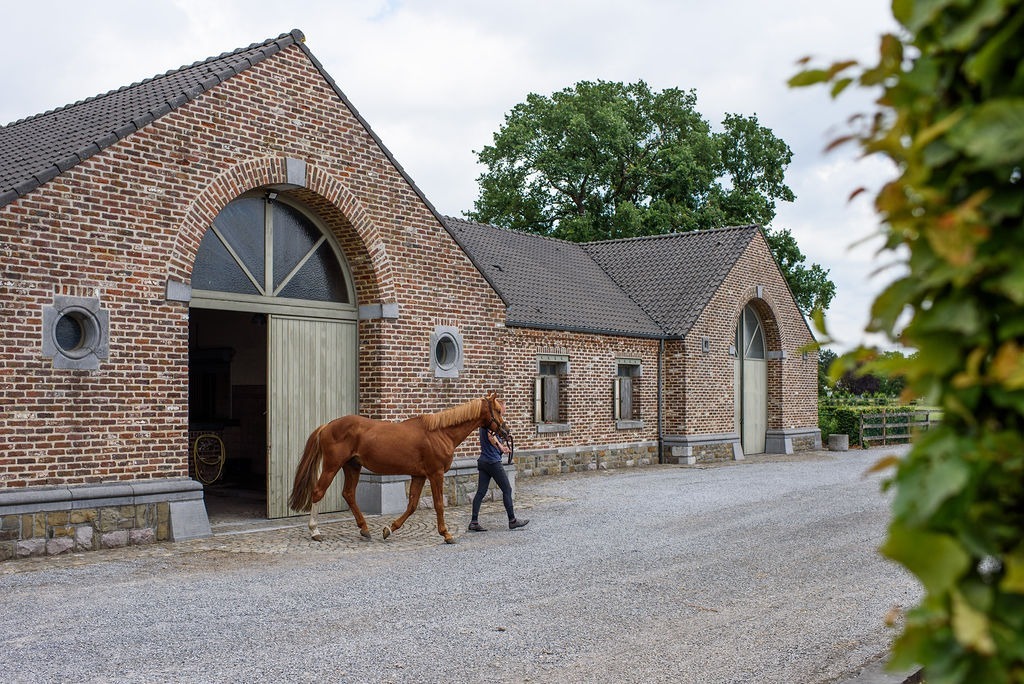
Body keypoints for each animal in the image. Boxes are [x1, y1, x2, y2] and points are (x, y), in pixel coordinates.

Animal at [286, 393, 509, 540]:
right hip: (332, 466)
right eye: (498, 410)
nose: (505, 431)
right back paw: (315, 530)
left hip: (352, 467)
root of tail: (327, 426)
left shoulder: (419, 475)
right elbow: (438, 504)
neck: (440, 433)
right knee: (318, 492)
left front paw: (389, 529)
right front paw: (446, 534)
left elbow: (412, 505)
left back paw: (365, 529)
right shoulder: (435, 474)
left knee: (348, 494)